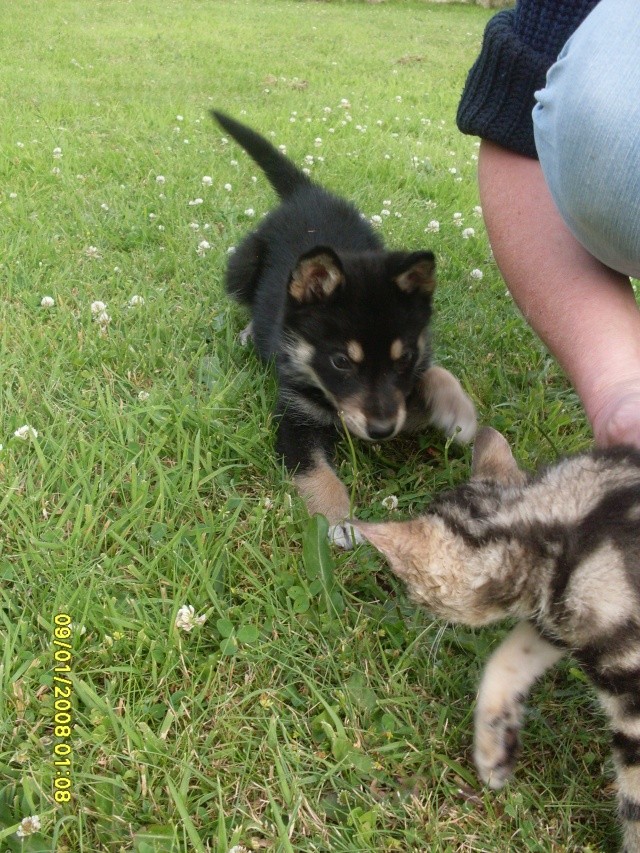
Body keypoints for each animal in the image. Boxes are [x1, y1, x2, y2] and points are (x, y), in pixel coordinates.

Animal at [214, 111, 476, 544]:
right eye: (340, 362)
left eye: (404, 358)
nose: (382, 430)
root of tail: (307, 193)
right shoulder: (295, 419)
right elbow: (317, 472)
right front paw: (338, 521)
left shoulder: (402, 404)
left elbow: (434, 374)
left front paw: (457, 408)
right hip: (242, 265)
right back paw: (250, 332)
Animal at [356, 430, 640, 848]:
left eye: (414, 587)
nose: (409, 603)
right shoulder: (551, 621)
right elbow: (503, 662)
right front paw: (493, 753)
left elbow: (635, 802)